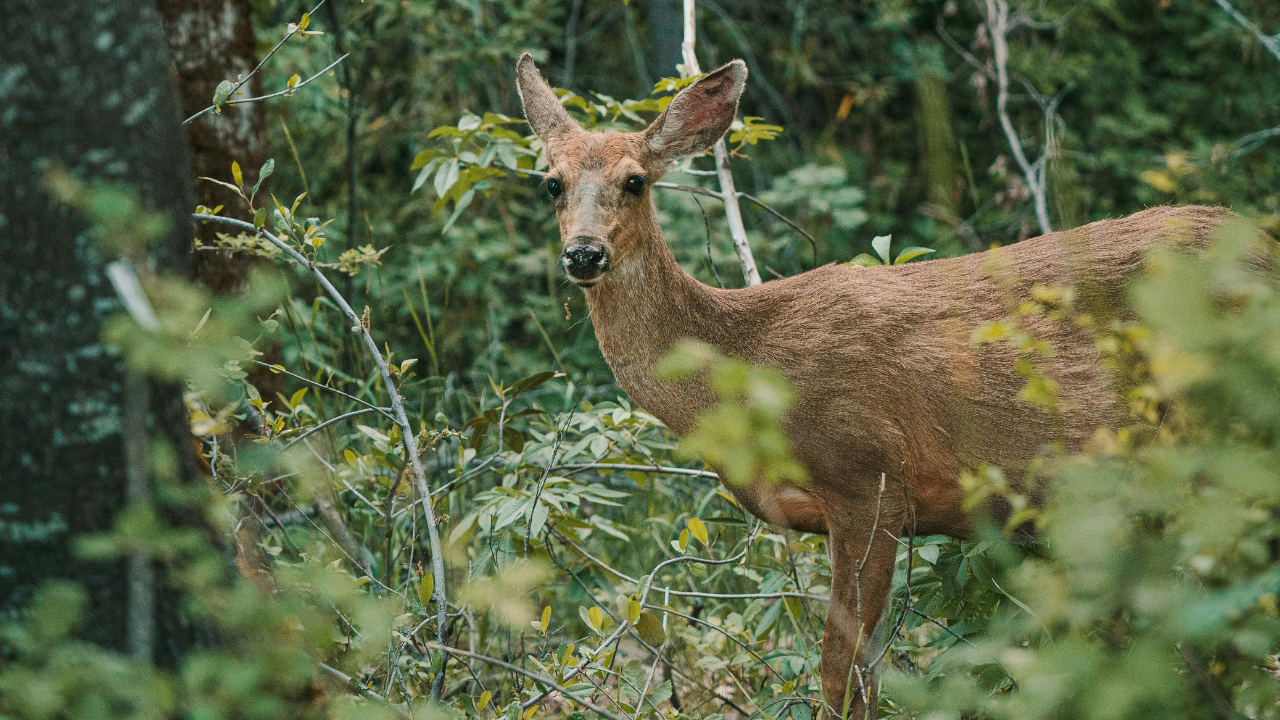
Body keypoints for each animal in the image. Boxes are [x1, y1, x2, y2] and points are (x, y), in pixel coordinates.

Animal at [514, 53, 1235, 718]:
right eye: (550, 183)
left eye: (635, 181)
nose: (584, 253)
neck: (749, 366)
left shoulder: (870, 478)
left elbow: (843, 672)